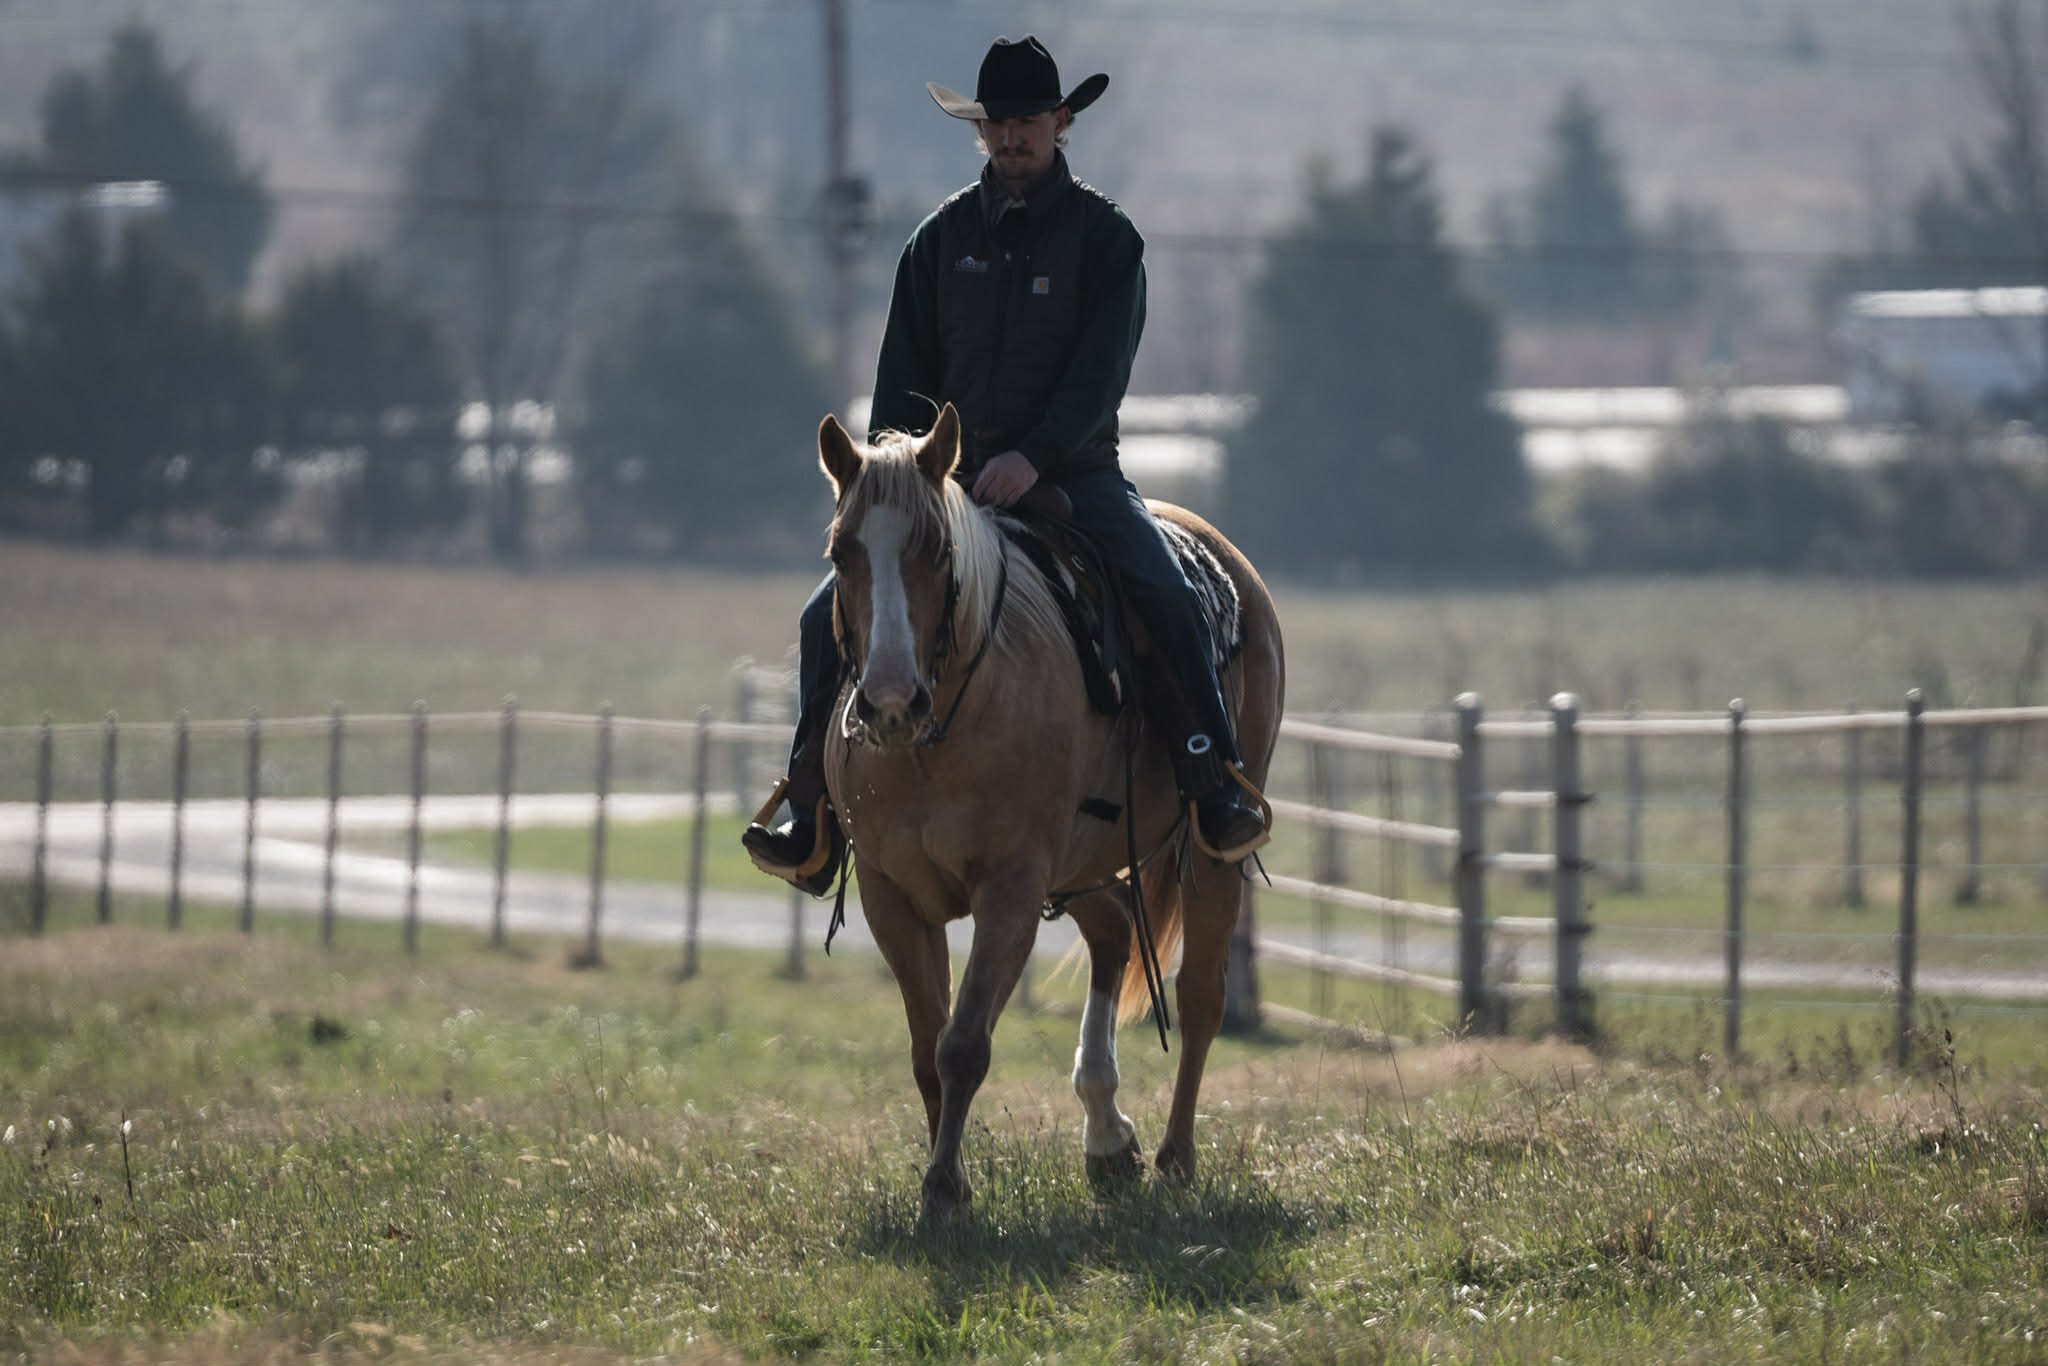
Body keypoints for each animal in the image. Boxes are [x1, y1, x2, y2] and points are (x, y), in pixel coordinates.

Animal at [815, 403, 1285, 1222]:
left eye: (938, 549)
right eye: (843, 552)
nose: (891, 701)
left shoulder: (1010, 887)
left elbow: (963, 1043)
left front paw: (943, 1190)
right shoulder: (891, 895)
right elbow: (927, 1048)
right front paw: (950, 1183)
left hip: (1206, 852)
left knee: (1200, 996)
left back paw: (1174, 1160)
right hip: (1082, 866)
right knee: (1116, 933)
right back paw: (1108, 1137)